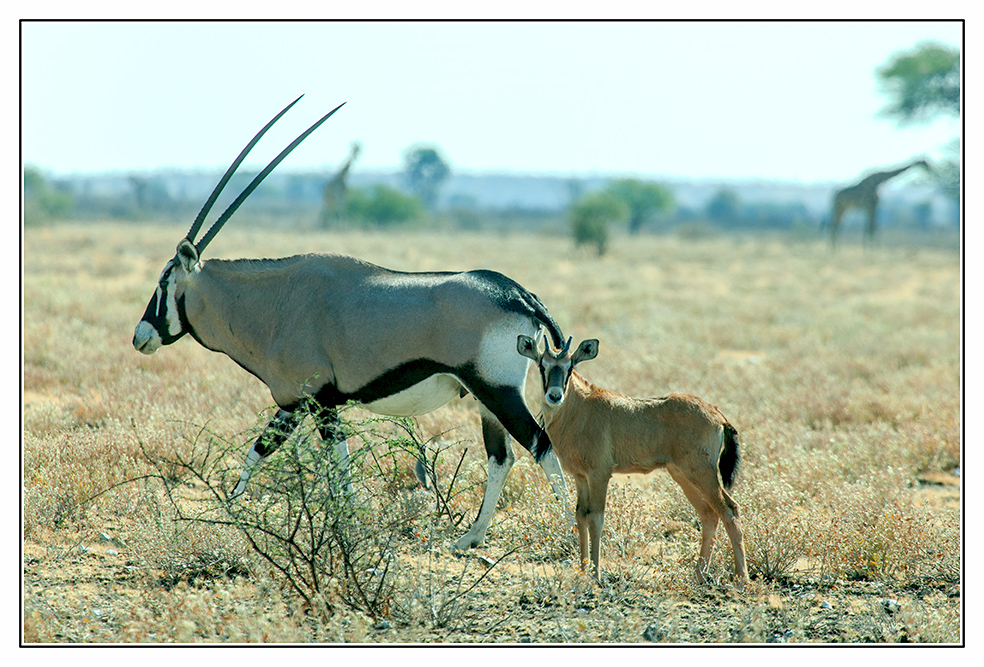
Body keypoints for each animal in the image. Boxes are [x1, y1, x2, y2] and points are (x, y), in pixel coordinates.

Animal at [131, 96, 568, 552]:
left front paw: (345, 527)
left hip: (498, 390)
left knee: (540, 445)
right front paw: (232, 511)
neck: (275, 301)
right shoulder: (296, 401)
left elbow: (333, 467)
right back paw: (470, 538)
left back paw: (567, 532)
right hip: (485, 397)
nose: (140, 336)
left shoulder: (318, 400)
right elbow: (262, 450)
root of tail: (519, 294)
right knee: (503, 456)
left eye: (163, 281)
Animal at [516, 336, 744, 580]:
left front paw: (596, 575)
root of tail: (717, 413)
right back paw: (700, 576)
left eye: (570, 366)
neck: (580, 408)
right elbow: (580, 516)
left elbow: (595, 518)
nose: (555, 396)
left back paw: (741, 579)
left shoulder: (599, 474)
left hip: (702, 474)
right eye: (543, 365)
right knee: (709, 514)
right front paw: (584, 571)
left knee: (728, 510)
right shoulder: (580, 477)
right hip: (683, 475)